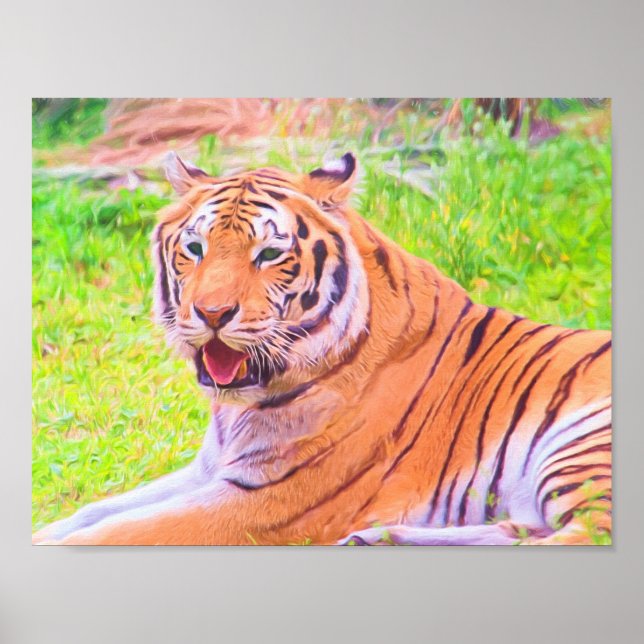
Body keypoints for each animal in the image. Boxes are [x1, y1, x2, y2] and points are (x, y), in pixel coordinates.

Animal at [33, 151, 611, 546]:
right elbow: (90, 513)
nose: (212, 314)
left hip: (581, 445)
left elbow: (115, 531)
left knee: (583, 535)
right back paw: (379, 540)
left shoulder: (267, 499)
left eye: (269, 254)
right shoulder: (211, 471)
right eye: (194, 248)